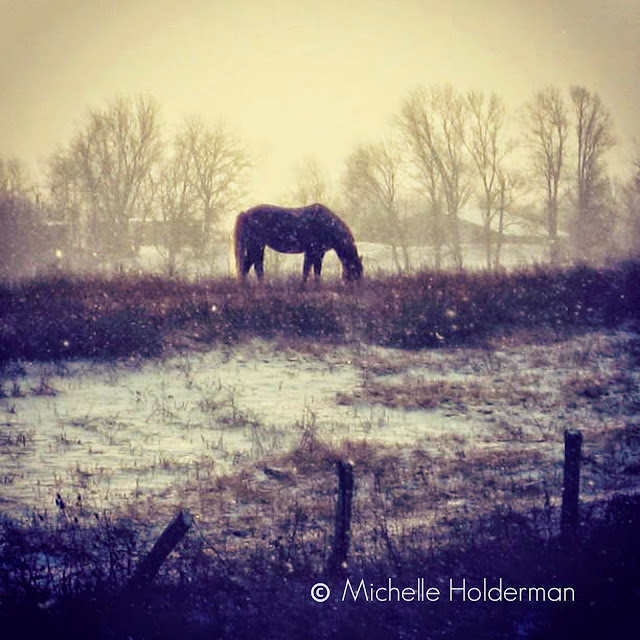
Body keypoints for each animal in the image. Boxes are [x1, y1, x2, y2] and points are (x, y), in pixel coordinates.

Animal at [234, 203, 363, 283]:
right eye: (355, 270)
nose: (358, 288)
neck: (327, 225)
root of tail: (246, 213)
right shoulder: (311, 251)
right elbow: (307, 270)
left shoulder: (319, 253)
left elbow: (315, 271)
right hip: (257, 245)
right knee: (256, 266)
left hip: (255, 246)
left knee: (247, 266)